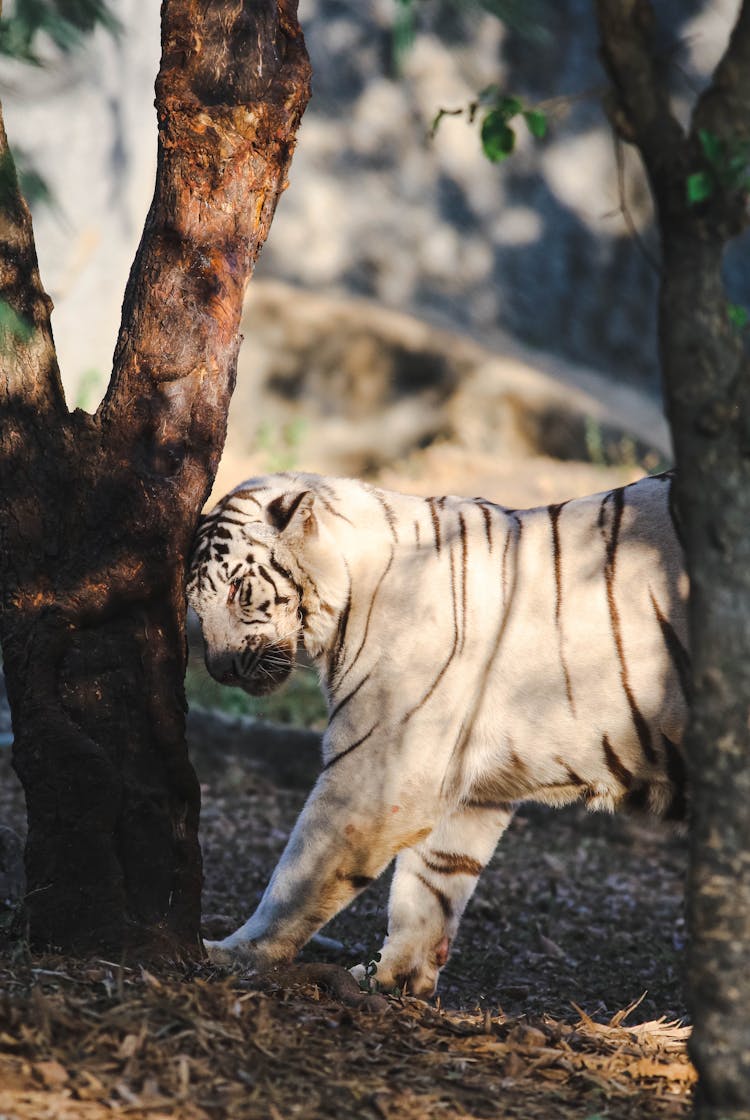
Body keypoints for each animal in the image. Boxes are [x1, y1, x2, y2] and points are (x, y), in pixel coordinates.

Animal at [186, 468, 689, 994]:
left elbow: (300, 873)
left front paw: (235, 954)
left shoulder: (377, 773)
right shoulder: (472, 785)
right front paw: (395, 978)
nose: (220, 669)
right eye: (194, 605)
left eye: (238, 591)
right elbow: (432, 880)